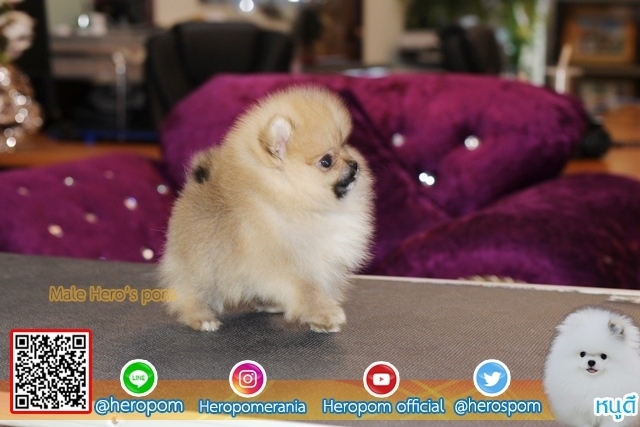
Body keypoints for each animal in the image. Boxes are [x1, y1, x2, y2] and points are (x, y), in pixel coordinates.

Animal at [158, 87, 374, 333]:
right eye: (326, 161)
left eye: (345, 145)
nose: (354, 164)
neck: (290, 197)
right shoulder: (291, 265)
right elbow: (309, 291)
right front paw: (325, 315)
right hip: (199, 263)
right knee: (190, 291)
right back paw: (201, 317)